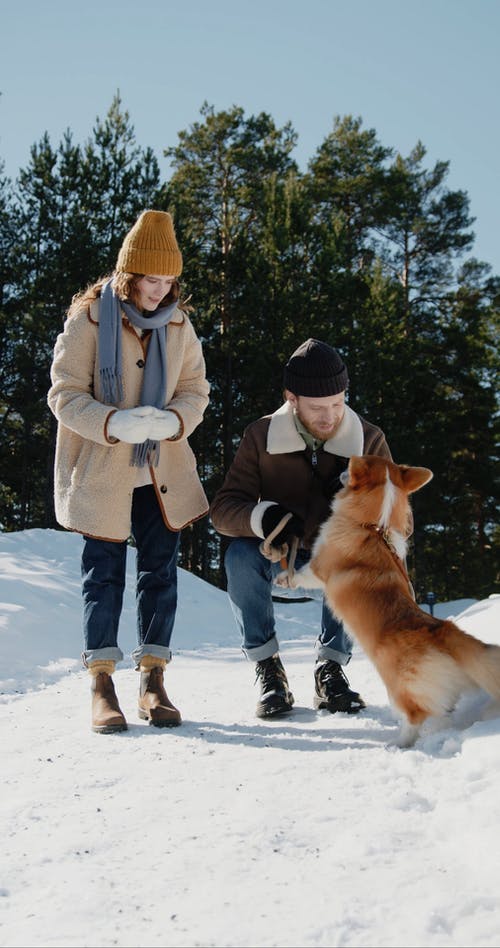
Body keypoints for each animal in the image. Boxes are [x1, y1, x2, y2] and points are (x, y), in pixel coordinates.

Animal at [276, 454, 500, 748]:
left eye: (352, 465)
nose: (341, 468)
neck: (373, 526)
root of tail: (443, 631)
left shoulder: (318, 568)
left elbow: (300, 574)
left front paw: (282, 578)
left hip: (398, 687)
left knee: (415, 715)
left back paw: (399, 743)